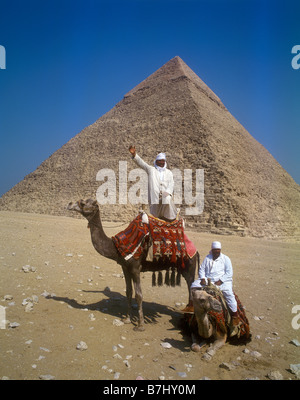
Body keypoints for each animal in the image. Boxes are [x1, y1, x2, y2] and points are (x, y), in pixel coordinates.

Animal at [67, 199, 198, 332]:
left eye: (83, 203)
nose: (69, 204)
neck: (116, 247)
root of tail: (195, 250)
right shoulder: (125, 267)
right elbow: (128, 292)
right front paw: (126, 319)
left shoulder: (135, 268)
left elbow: (139, 295)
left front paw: (140, 325)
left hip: (189, 267)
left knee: (191, 286)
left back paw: (189, 313)